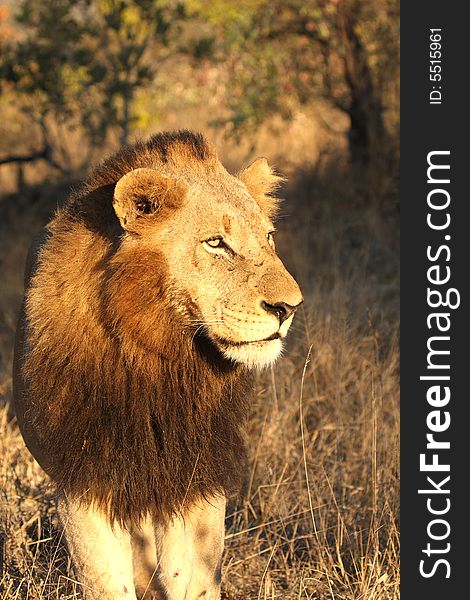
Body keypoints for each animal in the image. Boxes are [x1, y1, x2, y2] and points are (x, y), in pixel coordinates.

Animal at [13, 129, 304, 596]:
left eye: (270, 238)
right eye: (216, 242)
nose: (289, 307)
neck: (157, 357)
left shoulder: (195, 479)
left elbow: (196, 579)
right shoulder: (83, 485)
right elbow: (108, 584)